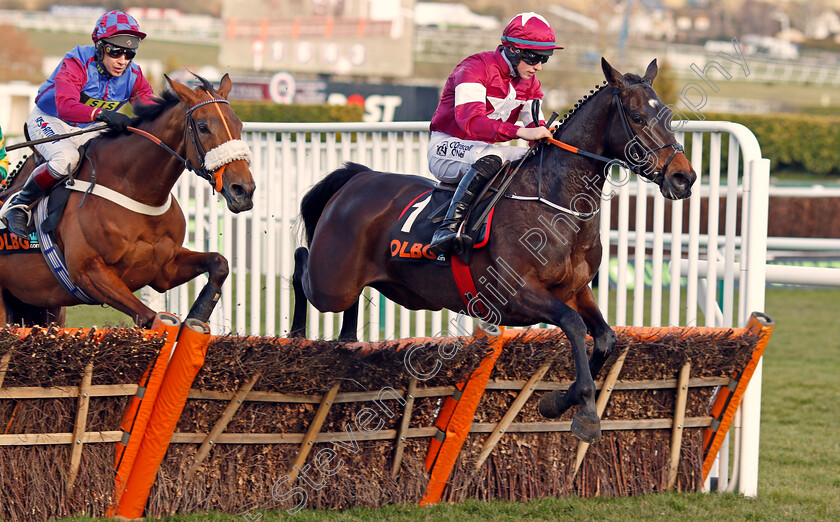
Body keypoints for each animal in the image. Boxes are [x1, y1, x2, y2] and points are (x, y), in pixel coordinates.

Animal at [0, 74, 256, 324]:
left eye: (239, 124)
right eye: (203, 127)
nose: (243, 190)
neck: (138, 192)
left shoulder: (164, 270)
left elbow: (219, 263)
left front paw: (197, 315)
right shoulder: (88, 272)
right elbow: (150, 318)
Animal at [292, 59, 700, 440]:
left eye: (666, 115)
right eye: (637, 116)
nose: (684, 177)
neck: (556, 204)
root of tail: (358, 178)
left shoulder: (576, 290)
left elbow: (603, 337)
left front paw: (557, 401)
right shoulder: (516, 294)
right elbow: (572, 325)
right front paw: (584, 411)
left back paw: (347, 341)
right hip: (331, 282)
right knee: (301, 265)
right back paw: (296, 335)